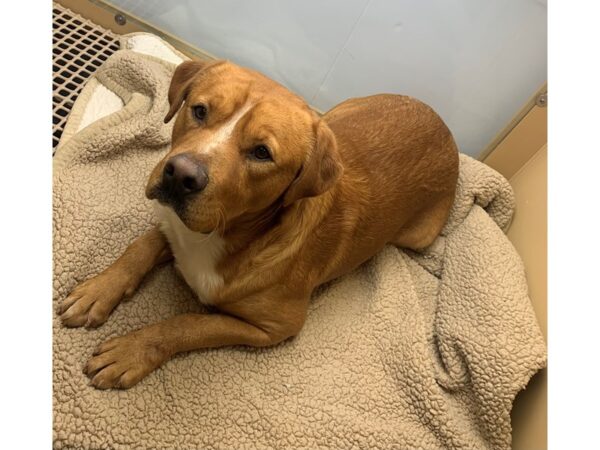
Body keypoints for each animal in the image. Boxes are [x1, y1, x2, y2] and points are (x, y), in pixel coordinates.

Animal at [57, 59, 460, 390]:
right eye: (199, 110)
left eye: (262, 153)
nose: (180, 175)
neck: (225, 235)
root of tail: (443, 126)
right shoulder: (174, 226)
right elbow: (139, 246)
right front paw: (99, 290)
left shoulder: (273, 328)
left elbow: (189, 324)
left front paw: (133, 349)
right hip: (337, 115)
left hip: (419, 235)